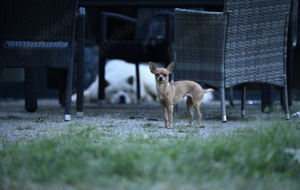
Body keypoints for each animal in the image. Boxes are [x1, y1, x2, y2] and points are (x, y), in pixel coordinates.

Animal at [72, 59, 213, 104]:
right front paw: (74, 98)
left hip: (151, 84)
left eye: (126, 91)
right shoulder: (94, 88)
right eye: (114, 92)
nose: (122, 97)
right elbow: (85, 92)